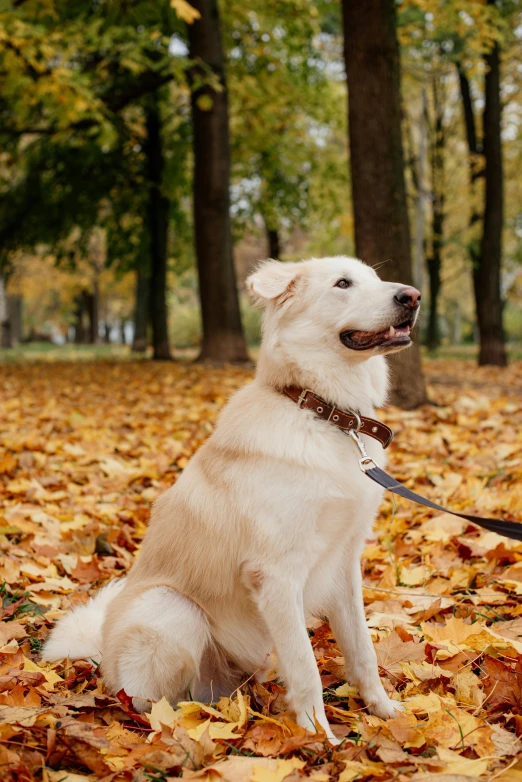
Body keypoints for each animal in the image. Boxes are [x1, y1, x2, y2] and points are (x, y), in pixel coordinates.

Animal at [42, 258, 420, 748]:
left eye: (374, 279)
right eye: (343, 284)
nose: (412, 296)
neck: (322, 413)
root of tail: (101, 653)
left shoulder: (344, 564)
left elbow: (363, 650)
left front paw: (383, 711)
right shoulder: (276, 575)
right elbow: (306, 667)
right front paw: (321, 739)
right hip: (171, 608)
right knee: (148, 703)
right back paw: (183, 726)